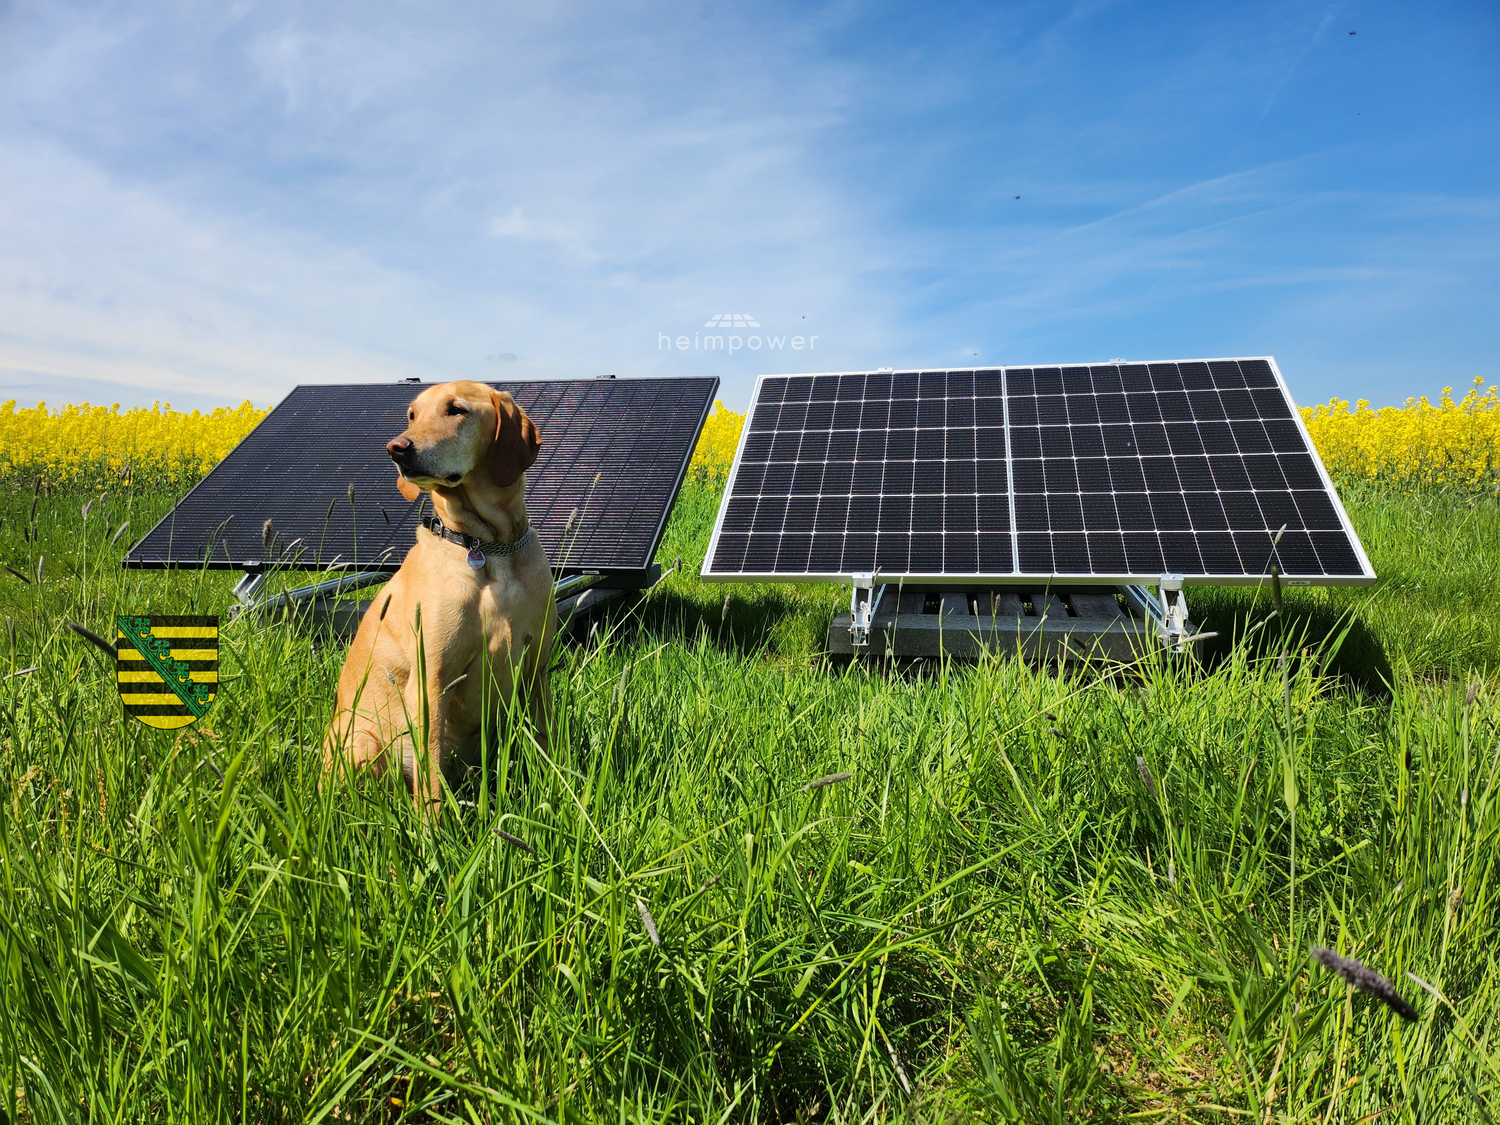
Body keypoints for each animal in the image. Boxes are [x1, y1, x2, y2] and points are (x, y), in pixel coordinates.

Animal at [324, 384, 558, 816]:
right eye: (412, 415)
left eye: (457, 409)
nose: (397, 448)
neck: (488, 548)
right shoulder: (432, 680)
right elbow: (430, 773)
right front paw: (431, 829)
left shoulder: (536, 670)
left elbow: (547, 742)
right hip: (361, 740)